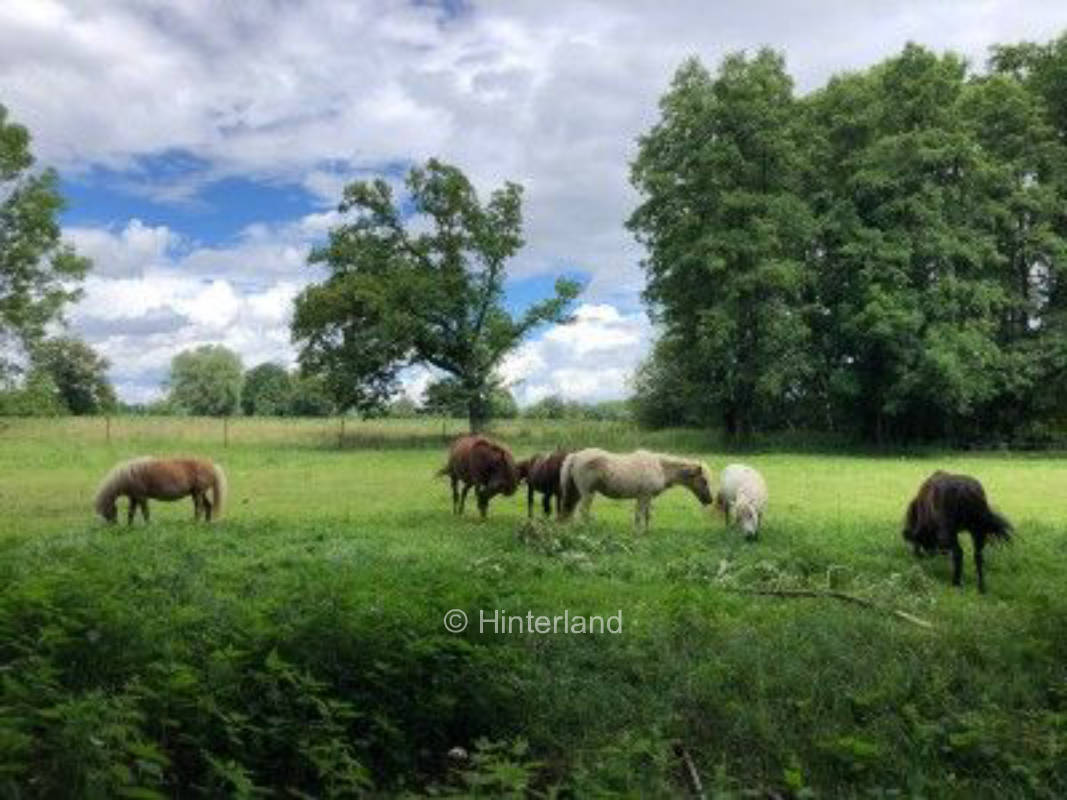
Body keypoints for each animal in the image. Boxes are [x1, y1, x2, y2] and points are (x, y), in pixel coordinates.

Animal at [94, 456, 227, 524]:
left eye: (107, 511)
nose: (114, 525)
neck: (129, 474)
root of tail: (212, 466)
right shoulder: (134, 498)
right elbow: (131, 513)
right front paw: (129, 526)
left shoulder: (141, 497)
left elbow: (145, 512)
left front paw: (148, 525)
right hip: (199, 493)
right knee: (208, 506)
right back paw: (206, 523)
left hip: (198, 493)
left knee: (199, 509)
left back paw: (195, 523)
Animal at [559, 448, 714, 531]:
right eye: (704, 481)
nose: (709, 500)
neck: (660, 468)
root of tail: (576, 456)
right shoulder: (643, 496)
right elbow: (639, 515)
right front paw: (638, 532)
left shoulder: (647, 497)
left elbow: (646, 515)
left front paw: (647, 531)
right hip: (588, 493)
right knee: (583, 512)